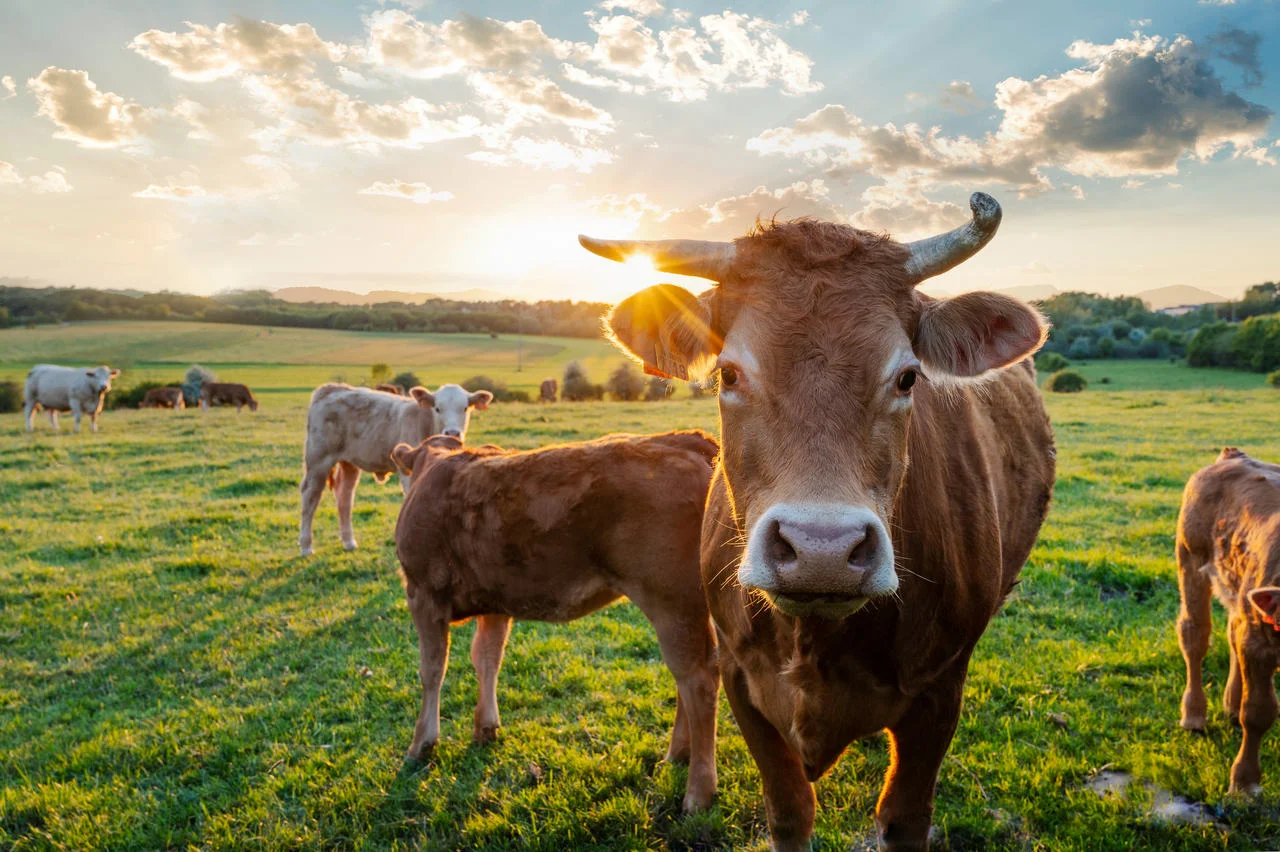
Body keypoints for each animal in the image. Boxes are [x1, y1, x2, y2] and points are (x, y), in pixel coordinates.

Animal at [299, 381, 494, 555]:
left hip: (349, 462)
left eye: (465, 408)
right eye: (437, 408)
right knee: (310, 496)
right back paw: (306, 546)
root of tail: (331, 388)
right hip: (318, 459)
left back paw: (349, 542)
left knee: (345, 497)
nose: (453, 432)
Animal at [389, 432, 727, 808]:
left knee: (697, 679)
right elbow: (487, 658)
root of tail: (682, 440)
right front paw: (485, 728)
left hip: (671, 602)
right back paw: (677, 755)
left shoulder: (422, 593)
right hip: (687, 606)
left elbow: (432, 670)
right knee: (691, 675)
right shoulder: (495, 602)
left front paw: (421, 744)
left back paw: (698, 792)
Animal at [586, 189, 1054, 844]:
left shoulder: (940, 692)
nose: (822, 550)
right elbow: (788, 810)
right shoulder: (742, 680)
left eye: (907, 376)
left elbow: (904, 816)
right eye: (729, 373)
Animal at [1172, 447, 1280, 793]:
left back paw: (1231, 704)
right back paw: (1194, 715)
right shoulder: (1260, 643)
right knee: (1194, 636)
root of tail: (1234, 456)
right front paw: (1244, 782)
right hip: (1190, 558)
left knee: (1233, 633)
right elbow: (1258, 712)